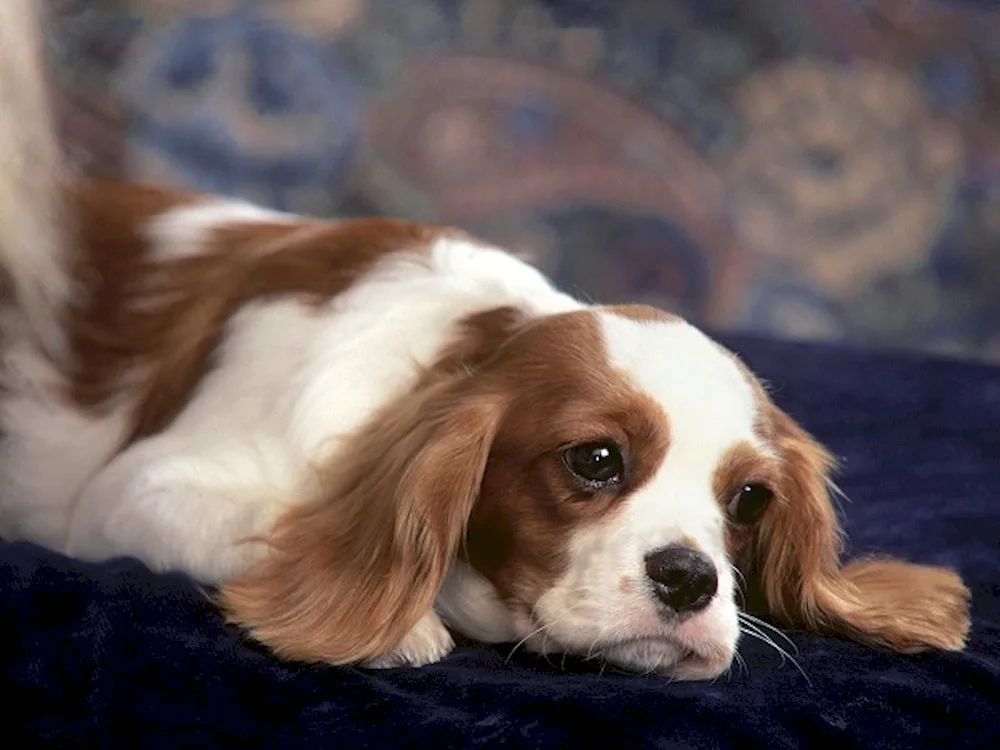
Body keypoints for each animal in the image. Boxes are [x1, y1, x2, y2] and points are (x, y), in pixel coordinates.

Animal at [0, 0, 968, 680]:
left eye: (750, 500)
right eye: (595, 460)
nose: (693, 579)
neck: (446, 359)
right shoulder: (133, 494)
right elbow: (267, 520)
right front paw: (399, 620)